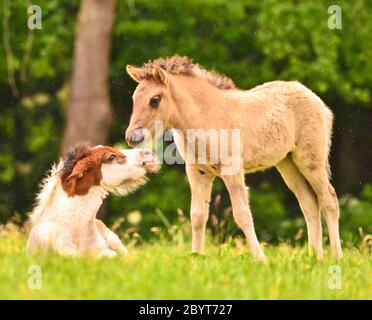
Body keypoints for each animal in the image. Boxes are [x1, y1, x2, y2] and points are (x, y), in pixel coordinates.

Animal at [125, 55, 342, 260]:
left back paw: (336, 257)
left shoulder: (232, 170)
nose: (132, 137)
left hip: (311, 161)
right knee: (309, 203)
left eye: (155, 99)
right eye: (134, 98)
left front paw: (260, 258)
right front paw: (196, 256)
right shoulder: (197, 171)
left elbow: (242, 214)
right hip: (287, 163)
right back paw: (315, 257)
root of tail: (317, 100)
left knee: (328, 199)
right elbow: (197, 216)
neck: (204, 116)